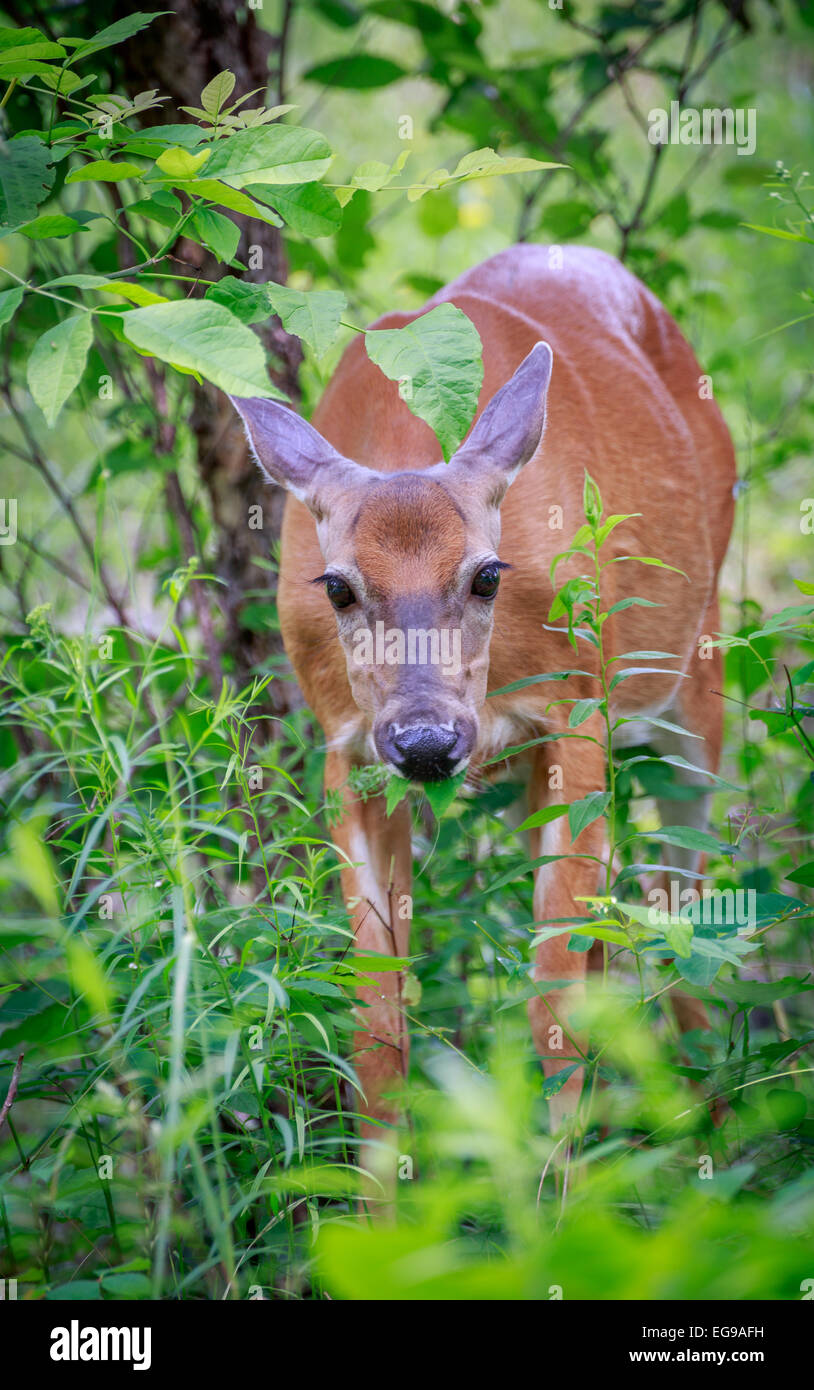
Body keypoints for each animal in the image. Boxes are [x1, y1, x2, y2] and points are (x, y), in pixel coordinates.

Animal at [231, 244, 735, 1190]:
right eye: (338, 586)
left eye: (487, 575)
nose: (428, 741)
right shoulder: (348, 750)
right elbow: (377, 1027)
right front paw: (381, 1213)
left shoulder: (576, 705)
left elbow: (555, 1003)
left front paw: (560, 1204)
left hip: (693, 679)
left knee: (681, 911)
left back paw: (719, 1137)